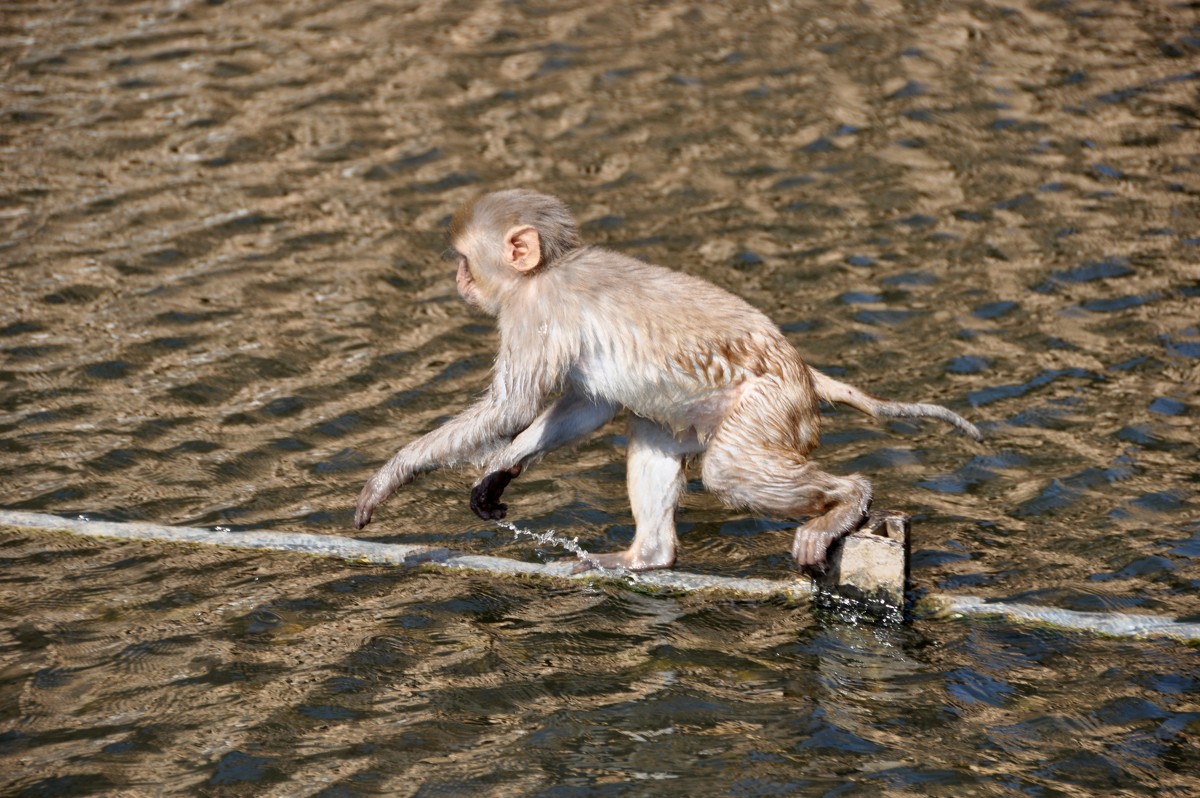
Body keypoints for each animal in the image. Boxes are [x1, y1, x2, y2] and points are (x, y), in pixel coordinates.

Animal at [350, 189, 979, 568]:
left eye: (464, 259)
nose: (459, 280)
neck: (546, 269)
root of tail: (802, 371)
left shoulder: (532, 311)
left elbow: (512, 406)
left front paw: (391, 475)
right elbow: (588, 407)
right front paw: (500, 470)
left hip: (770, 407)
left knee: (728, 471)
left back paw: (848, 500)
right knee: (651, 429)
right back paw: (646, 555)